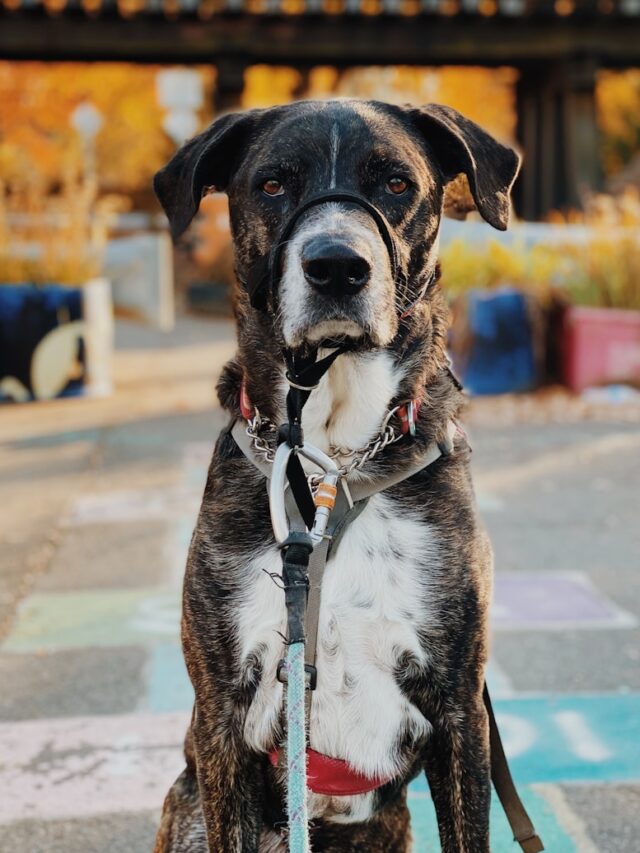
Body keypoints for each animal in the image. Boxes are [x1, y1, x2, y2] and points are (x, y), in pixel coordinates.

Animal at [154, 101, 520, 852]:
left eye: (397, 183)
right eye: (271, 184)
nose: (337, 267)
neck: (334, 458)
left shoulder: (460, 707)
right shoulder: (222, 713)